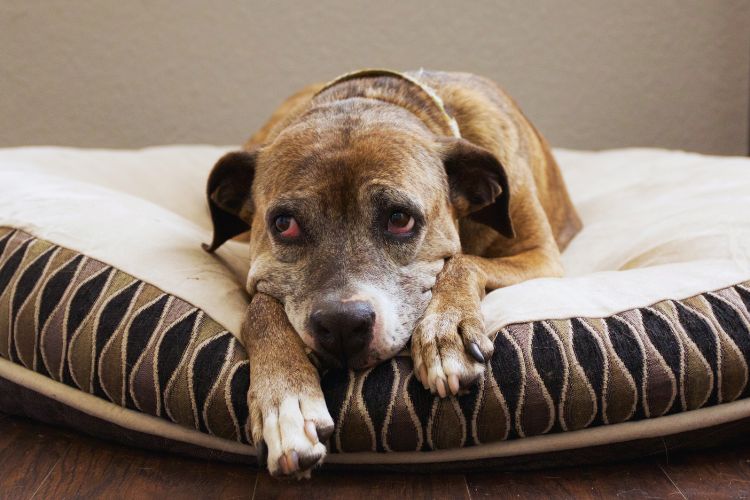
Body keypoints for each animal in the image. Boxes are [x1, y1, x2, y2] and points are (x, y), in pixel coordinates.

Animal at [203, 69, 584, 476]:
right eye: (284, 224)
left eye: (400, 219)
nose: (342, 324)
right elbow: (259, 309)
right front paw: (286, 401)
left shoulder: (541, 257)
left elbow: (462, 261)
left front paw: (444, 332)